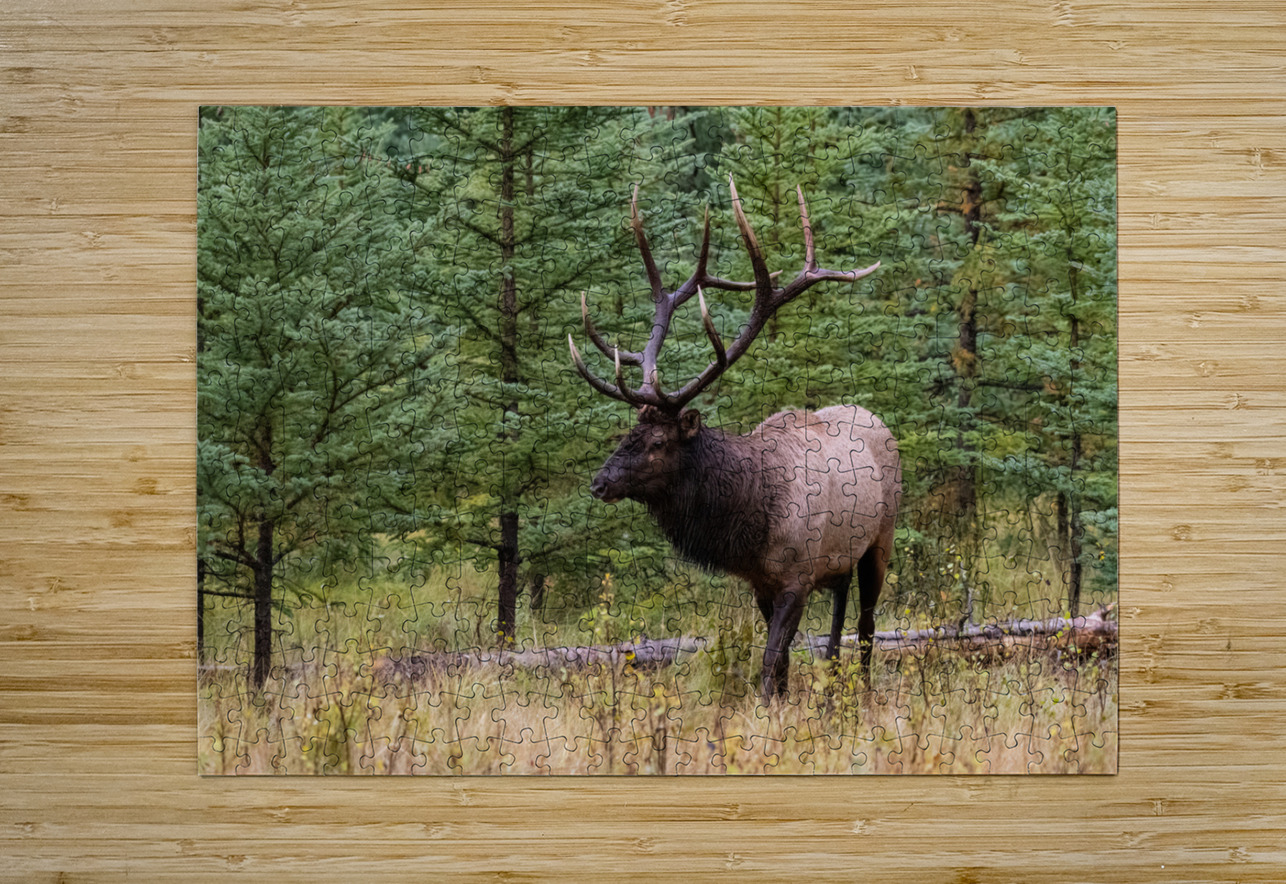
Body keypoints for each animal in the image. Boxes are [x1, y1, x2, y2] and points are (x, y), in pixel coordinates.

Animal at [568, 175, 901, 702]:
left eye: (658, 443)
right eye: (629, 432)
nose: (600, 483)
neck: (751, 520)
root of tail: (877, 419)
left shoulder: (795, 577)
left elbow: (770, 660)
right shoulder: (762, 583)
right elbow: (779, 663)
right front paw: (783, 704)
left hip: (880, 540)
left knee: (867, 626)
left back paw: (861, 693)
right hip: (839, 560)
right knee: (840, 617)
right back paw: (833, 686)